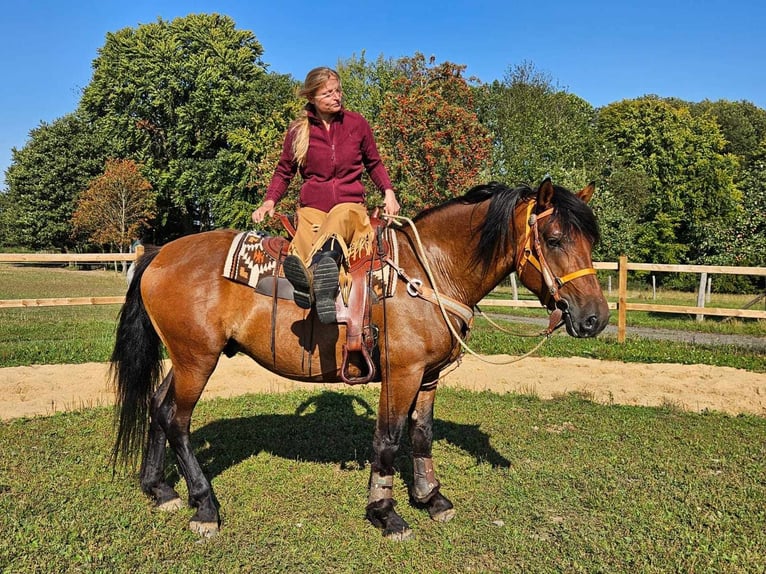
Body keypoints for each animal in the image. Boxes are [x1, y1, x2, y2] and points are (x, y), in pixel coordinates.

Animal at [111, 179, 612, 540]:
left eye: (590, 240)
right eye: (554, 238)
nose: (595, 318)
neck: (430, 271)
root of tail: (160, 252)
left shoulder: (428, 377)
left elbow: (422, 435)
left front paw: (431, 498)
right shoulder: (401, 374)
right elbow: (388, 440)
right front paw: (385, 512)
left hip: (184, 359)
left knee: (158, 408)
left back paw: (160, 489)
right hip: (198, 360)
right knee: (177, 420)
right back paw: (204, 505)